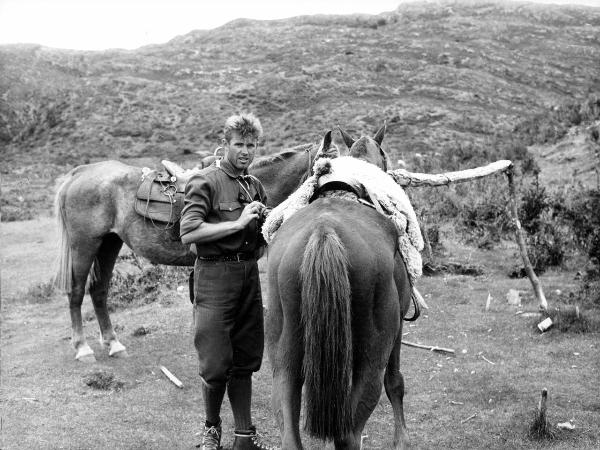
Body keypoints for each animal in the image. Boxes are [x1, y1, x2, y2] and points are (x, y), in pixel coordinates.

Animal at [54, 125, 386, 362]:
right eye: (326, 167)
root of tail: (80, 172)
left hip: (109, 243)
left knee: (99, 291)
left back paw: (113, 344)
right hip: (85, 244)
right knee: (77, 291)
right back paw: (82, 348)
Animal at [264, 127, 410, 450]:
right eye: (385, 154)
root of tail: (324, 232)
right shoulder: (398, 330)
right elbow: (396, 382)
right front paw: (402, 440)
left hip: (284, 357)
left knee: (289, 431)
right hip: (371, 359)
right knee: (348, 433)